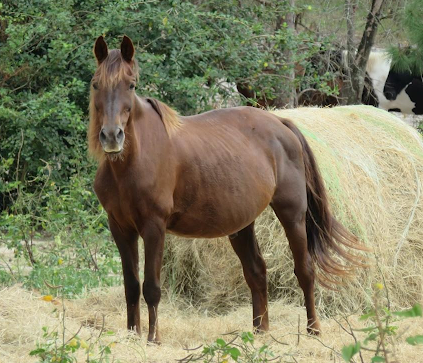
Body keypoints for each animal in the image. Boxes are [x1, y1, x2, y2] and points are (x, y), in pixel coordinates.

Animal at [88, 35, 364, 342]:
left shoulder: (153, 227)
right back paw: (259, 331)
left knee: (305, 270)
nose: (112, 136)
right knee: (257, 272)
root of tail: (281, 123)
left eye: (131, 84)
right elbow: (132, 288)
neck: (133, 163)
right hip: (241, 224)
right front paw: (132, 335)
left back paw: (313, 330)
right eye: (96, 84)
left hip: (292, 214)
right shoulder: (120, 228)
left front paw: (152, 340)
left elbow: (151, 288)